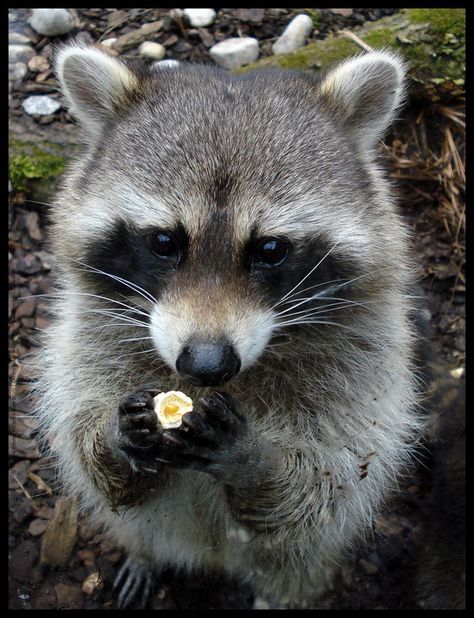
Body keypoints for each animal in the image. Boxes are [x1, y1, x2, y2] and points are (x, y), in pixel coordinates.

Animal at [34, 44, 426, 608]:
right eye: (163, 241)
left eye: (270, 248)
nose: (206, 363)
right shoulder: (86, 334)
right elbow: (78, 438)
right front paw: (111, 436)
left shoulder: (365, 361)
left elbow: (332, 478)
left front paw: (255, 457)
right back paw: (143, 554)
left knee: (293, 562)